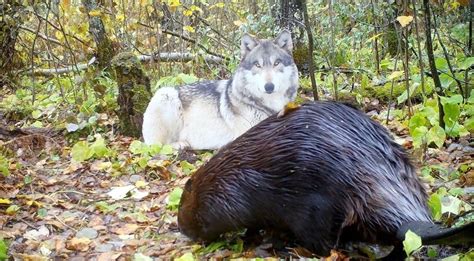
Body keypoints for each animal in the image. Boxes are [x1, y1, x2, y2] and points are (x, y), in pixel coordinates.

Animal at [141, 30, 298, 148]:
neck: (269, 106)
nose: (269, 86)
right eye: (257, 65)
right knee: (157, 146)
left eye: (276, 63)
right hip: (166, 94)